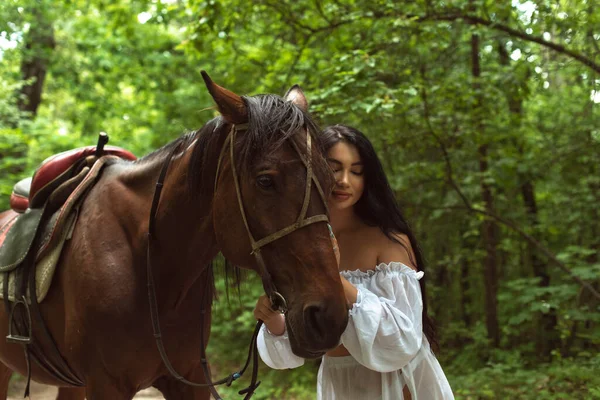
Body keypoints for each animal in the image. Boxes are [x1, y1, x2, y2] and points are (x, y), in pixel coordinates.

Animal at [0, 73, 350, 398]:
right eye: (265, 180)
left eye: (330, 181)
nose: (329, 317)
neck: (153, 269)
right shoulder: (105, 384)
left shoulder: (188, 377)